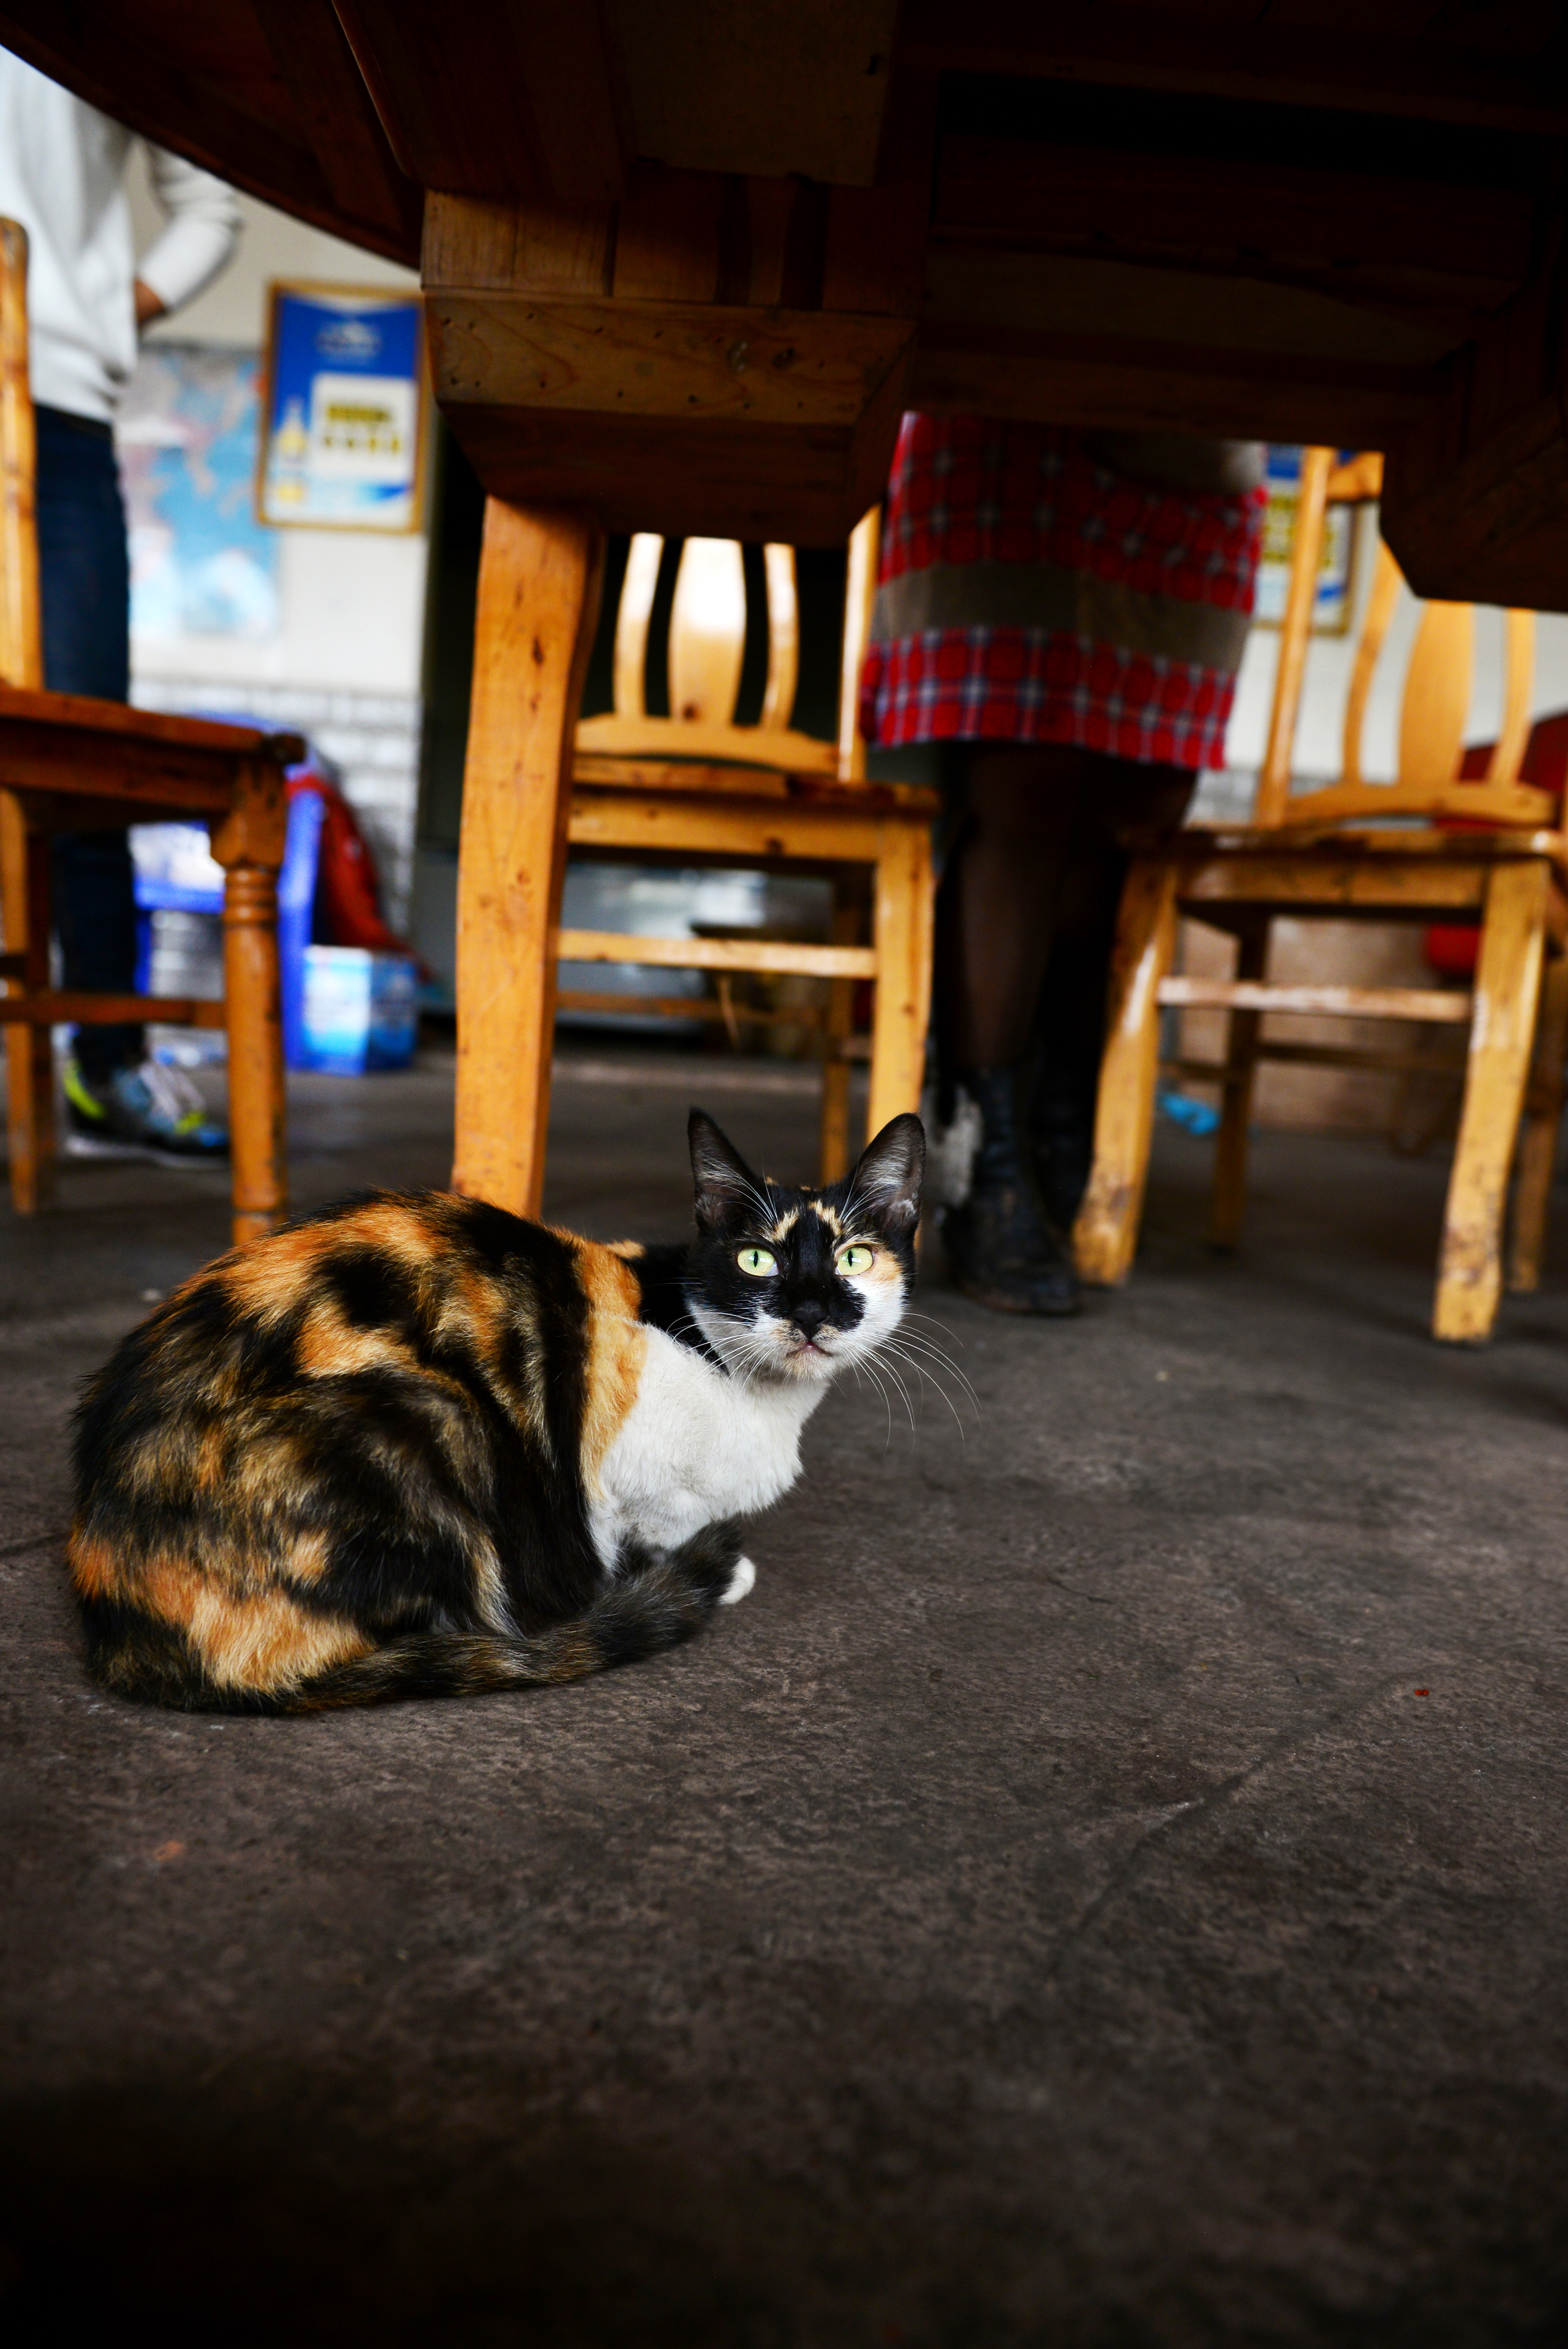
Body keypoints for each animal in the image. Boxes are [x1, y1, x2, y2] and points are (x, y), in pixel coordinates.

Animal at [68, 1109, 924, 1714]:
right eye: (757, 1259)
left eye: (854, 1256)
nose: (810, 1312)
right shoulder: (619, 1485)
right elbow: (640, 1536)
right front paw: (704, 1572)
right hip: (433, 1413)